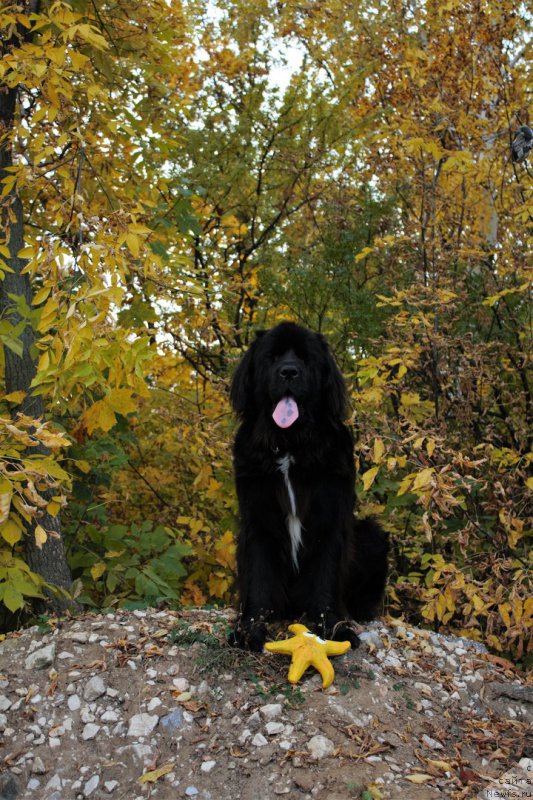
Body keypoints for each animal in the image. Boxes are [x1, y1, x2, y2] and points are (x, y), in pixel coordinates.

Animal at [229, 322, 386, 652]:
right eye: (273, 357)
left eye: (305, 358)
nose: (289, 372)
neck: (289, 445)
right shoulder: (257, 520)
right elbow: (258, 578)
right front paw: (249, 632)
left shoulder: (331, 517)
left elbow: (325, 577)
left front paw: (334, 630)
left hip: (372, 534)